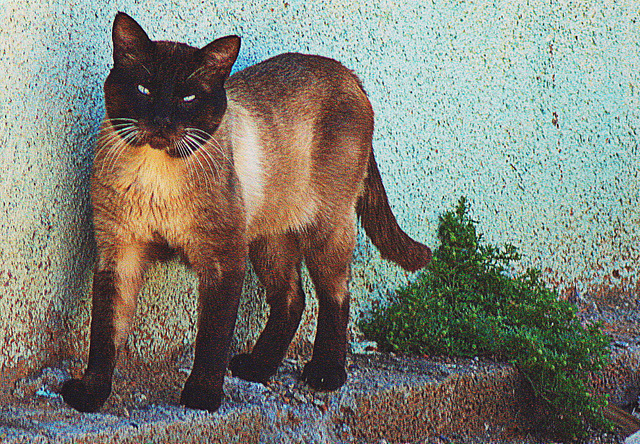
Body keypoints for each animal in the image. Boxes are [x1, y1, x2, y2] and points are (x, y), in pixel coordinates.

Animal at [61, 13, 430, 412]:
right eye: (144, 90)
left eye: (188, 98)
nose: (161, 121)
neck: (156, 174)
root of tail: (349, 74)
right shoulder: (119, 255)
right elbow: (105, 334)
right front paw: (89, 396)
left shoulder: (222, 261)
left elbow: (212, 338)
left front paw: (202, 397)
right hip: (270, 241)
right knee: (292, 299)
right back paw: (257, 367)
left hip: (325, 231)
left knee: (336, 296)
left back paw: (325, 374)